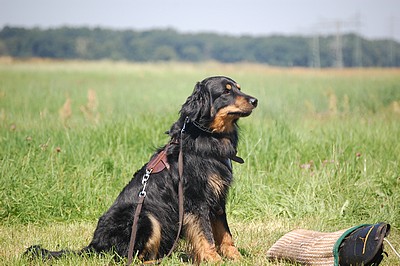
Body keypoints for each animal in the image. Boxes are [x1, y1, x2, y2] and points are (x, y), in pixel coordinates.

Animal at [25, 76, 256, 262]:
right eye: (226, 91)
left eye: (239, 88)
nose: (255, 100)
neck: (207, 137)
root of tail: (94, 245)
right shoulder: (196, 200)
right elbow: (206, 235)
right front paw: (214, 260)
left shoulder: (217, 199)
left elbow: (225, 234)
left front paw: (237, 258)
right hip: (145, 216)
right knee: (129, 258)